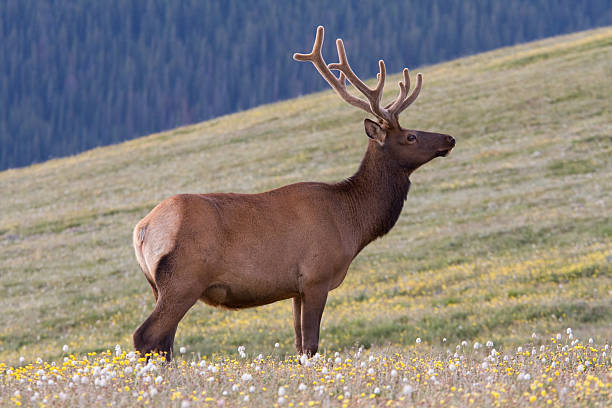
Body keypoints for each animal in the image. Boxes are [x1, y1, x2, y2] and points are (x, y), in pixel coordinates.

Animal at [133, 26, 454, 360]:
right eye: (411, 136)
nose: (449, 139)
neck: (351, 222)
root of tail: (142, 229)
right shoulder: (316, 277)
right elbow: (311, 345)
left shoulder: (295, 289)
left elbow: (299, 345)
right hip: (184, 279)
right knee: (146, 336)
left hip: (158, 287)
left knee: (164, 344)